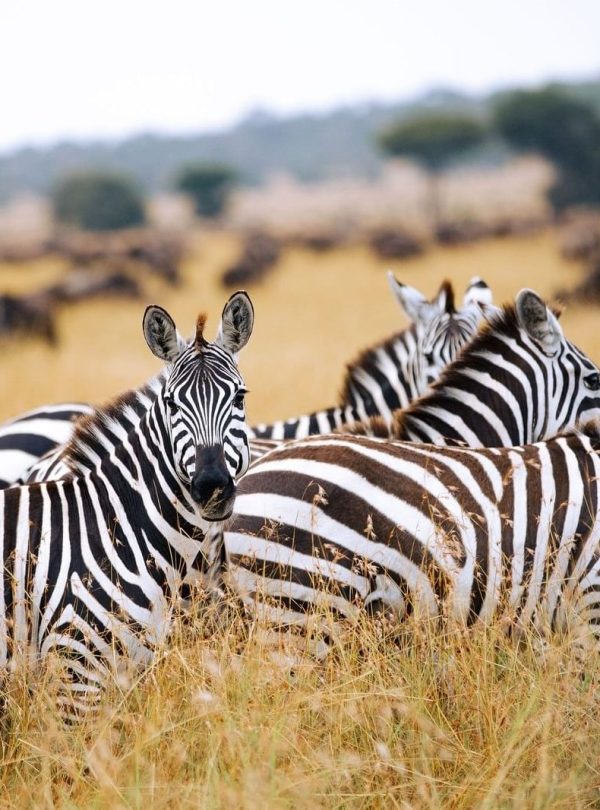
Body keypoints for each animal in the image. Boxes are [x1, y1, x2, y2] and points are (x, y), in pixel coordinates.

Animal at [0, 291, 254, 718]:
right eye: (171, 403)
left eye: (239, 396)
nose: (212, 488)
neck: (116, 528)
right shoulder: (74, 673)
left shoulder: (123, 673)